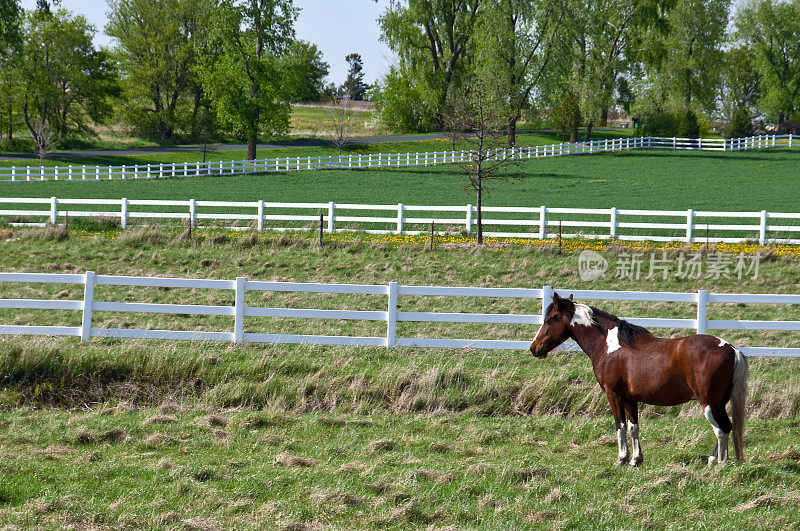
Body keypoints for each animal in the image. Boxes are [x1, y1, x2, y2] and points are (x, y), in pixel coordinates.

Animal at [528, 294, 748, 468]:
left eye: (549, 320)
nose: (534, 348)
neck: (610, 346)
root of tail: (731, 349)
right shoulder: (630, 398)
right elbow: (634, 427)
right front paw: (635, 459)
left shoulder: (613, 395)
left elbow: (620, 426)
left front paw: (621, 459)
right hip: (719, 403)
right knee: (727, 427)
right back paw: (713, 459)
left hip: (708, 402)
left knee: (721, 430)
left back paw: (720, 464)